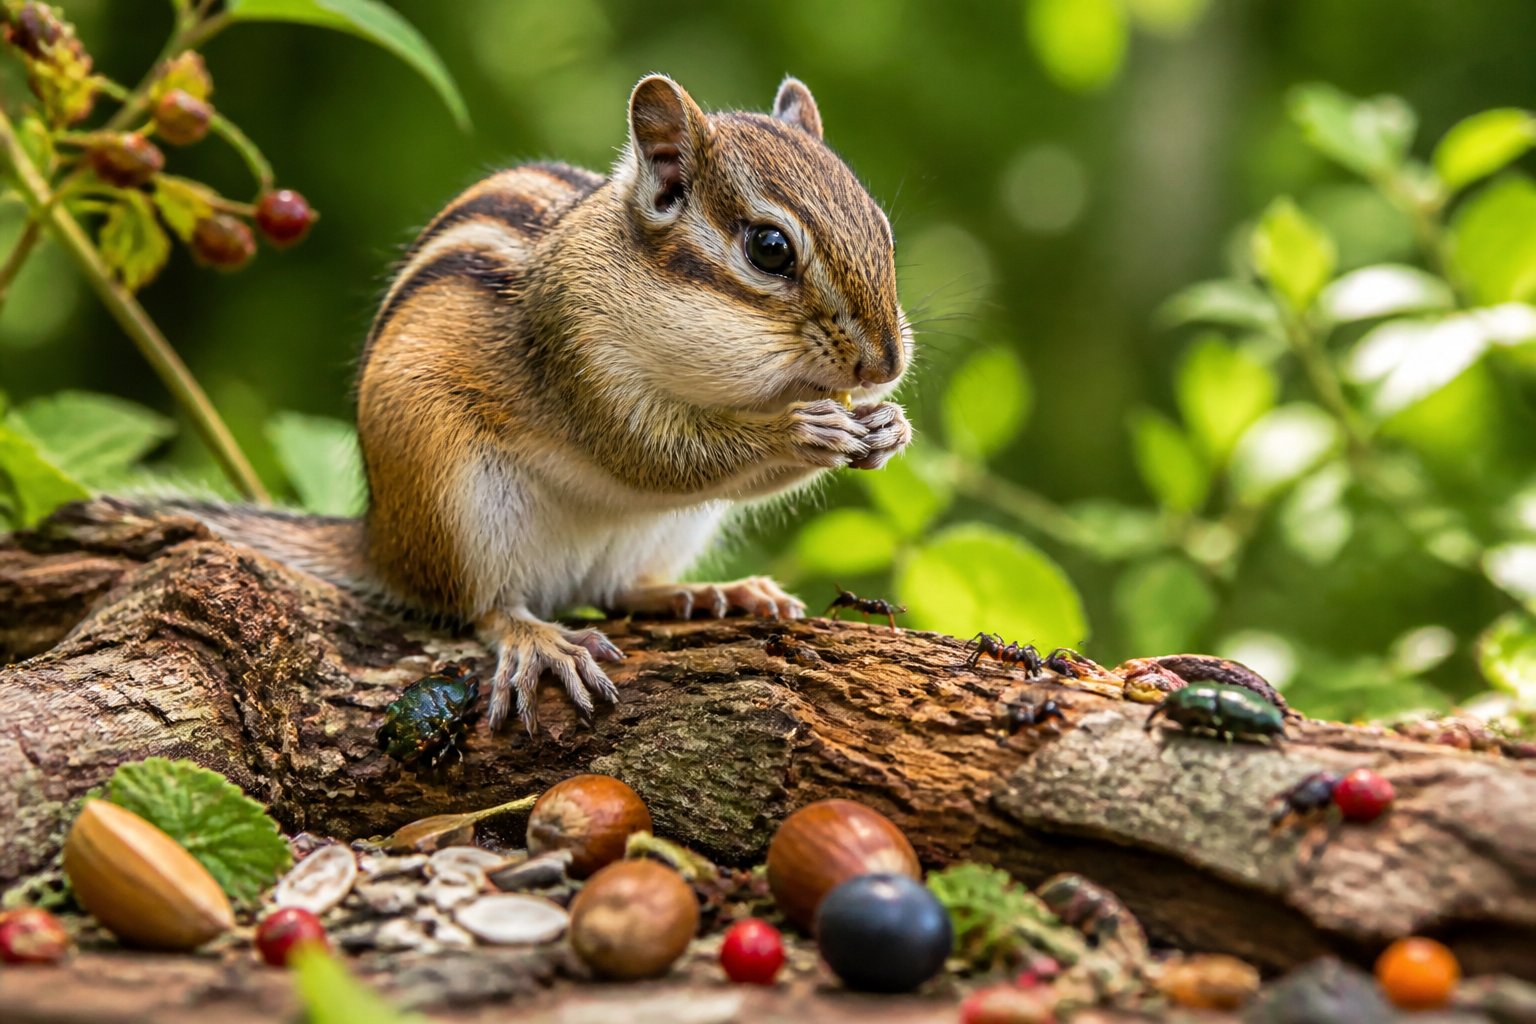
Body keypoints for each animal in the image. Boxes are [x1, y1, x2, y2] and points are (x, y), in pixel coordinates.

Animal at [176, 75, 913, 733]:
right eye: (770, 248)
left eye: (883, 228)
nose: (885, 366)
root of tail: (381, 542)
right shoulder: (577, 354)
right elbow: (657, 456)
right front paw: (800, 430)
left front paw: (888, 428)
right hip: (453, 495)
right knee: (481, 605)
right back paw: (539, 638)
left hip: (669, 531)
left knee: (613, 589)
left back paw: (704, 592)